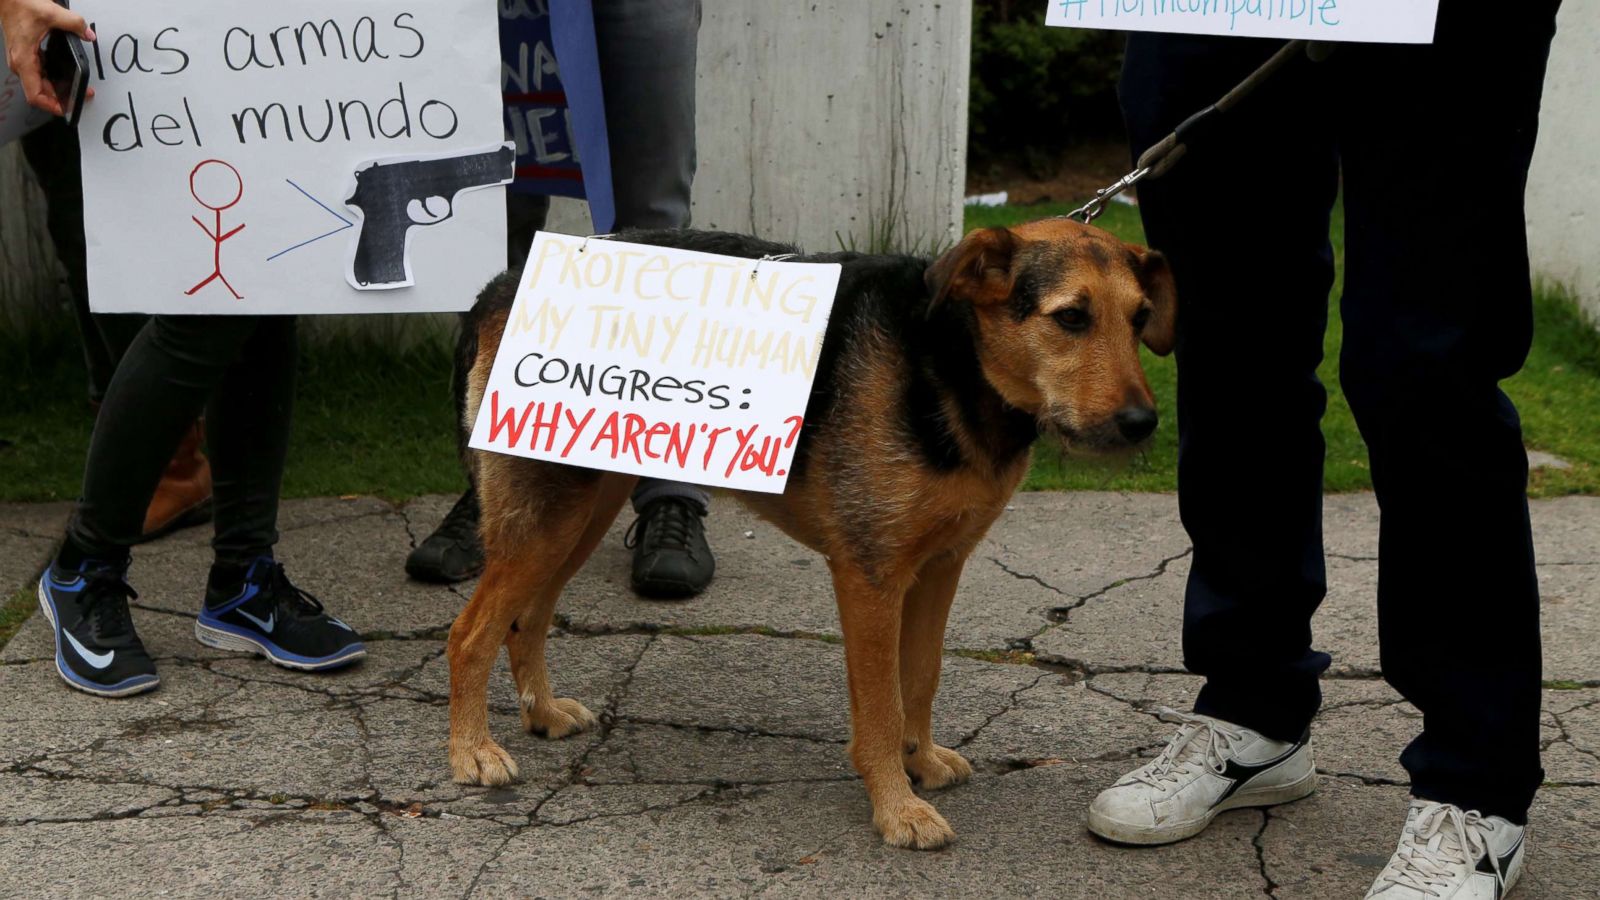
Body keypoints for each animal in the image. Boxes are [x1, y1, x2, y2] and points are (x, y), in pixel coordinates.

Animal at [448, 219, 1177, 845]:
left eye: (1141, 318)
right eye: (1071, 317)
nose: (1143, 423)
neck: (950, 362)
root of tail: (498, 282)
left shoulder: (940, 567)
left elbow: (923, 676)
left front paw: (920, 761)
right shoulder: (871, 577)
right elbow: (881, 705)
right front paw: (897, 809)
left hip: (579, 512)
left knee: (527, 619)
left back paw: (541, 714)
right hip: (547, 514)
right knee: (471, 632)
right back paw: (472, 752)